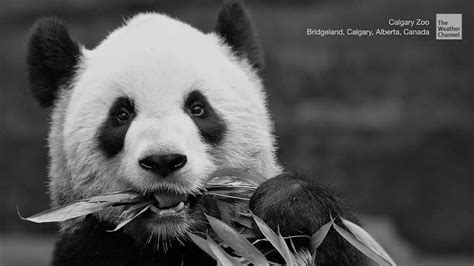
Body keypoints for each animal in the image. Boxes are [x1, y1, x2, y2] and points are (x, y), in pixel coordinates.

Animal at [26, 1, 366, 264]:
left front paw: (288, 206)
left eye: (198, 108)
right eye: (121, 115)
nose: (163, 160)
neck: (175, 240)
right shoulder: (89, 243)